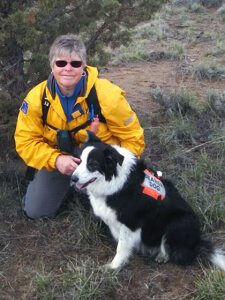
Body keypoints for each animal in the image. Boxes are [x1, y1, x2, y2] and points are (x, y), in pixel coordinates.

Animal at [71, 132, 225, 270]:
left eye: (92, 164)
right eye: (79, 161)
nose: (73, 178)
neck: (116, 181)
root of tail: (197, 242)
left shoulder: (130, 223)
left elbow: (121, 247)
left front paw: (113, 266)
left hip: (178, 222)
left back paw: (163, 256)